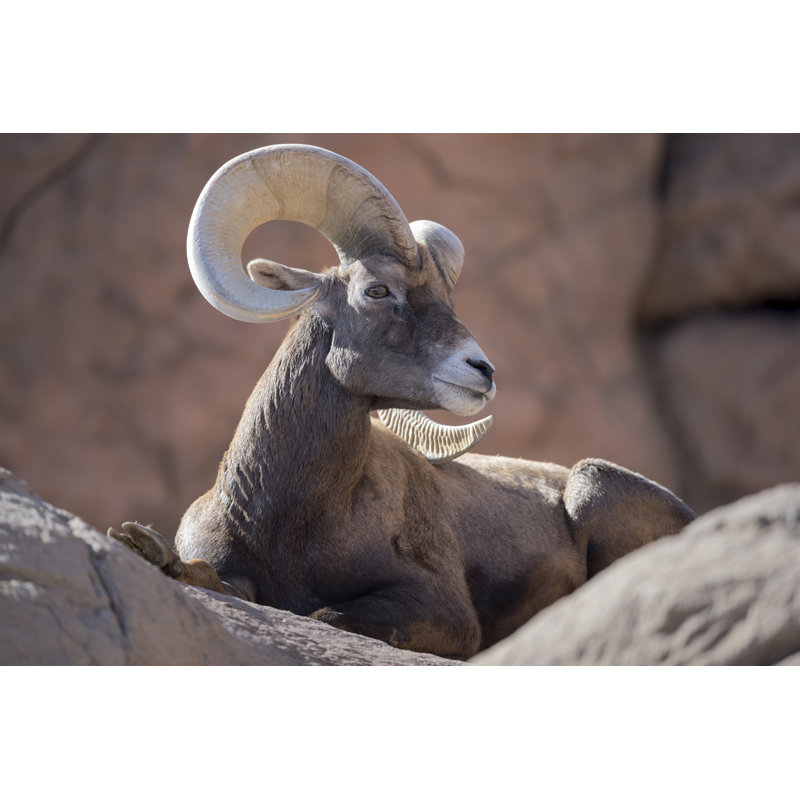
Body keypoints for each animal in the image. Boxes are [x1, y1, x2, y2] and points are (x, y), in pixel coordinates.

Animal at [109, 143, 696, 660]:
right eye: (377, 290)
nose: (482, 371)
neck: (285, 519)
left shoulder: (443, 612)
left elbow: (322, 615)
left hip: (594, 485)